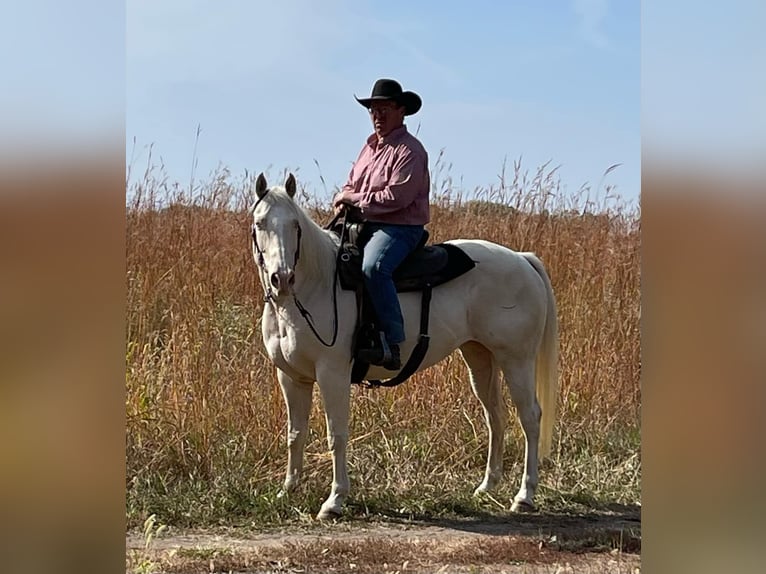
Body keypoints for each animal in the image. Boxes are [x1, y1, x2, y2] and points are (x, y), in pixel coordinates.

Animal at [250, 173, 559, 520]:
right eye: (260, 223)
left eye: (295, 225)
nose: (282, 278)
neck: (314, 286)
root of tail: (522, 259)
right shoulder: (291, 377)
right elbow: (295, 433)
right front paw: (287, 490)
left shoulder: (332, 374)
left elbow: (336, 435)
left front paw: (335, 500)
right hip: (480, 357)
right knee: (495, 415)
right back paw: (486, 487)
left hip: (517, 359)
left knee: (530, 417)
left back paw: (524, 496)